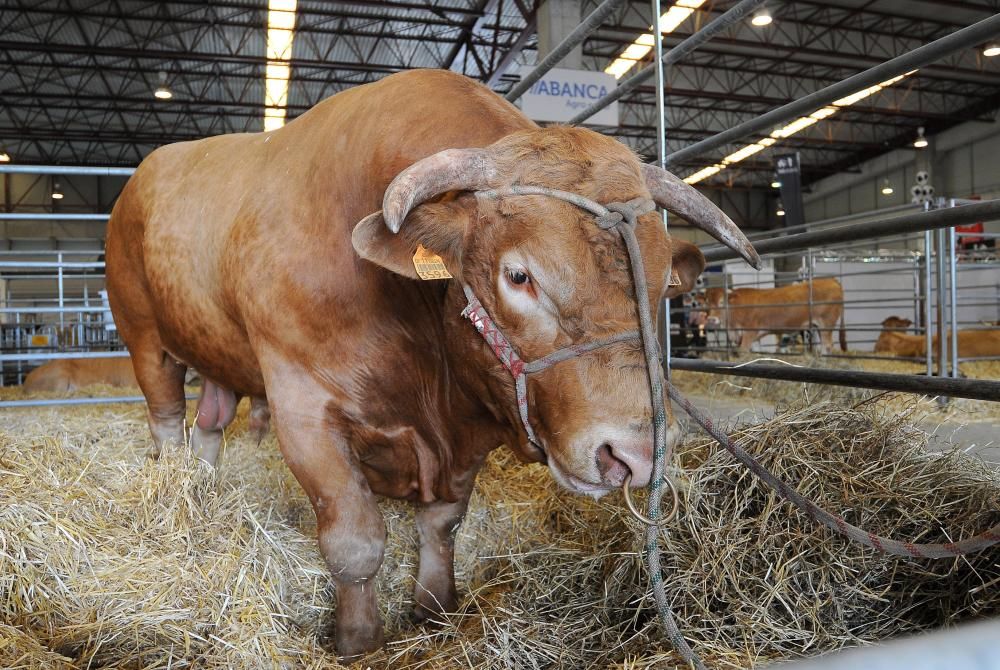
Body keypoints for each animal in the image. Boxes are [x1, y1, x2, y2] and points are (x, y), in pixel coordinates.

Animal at [103, 71, 756, 660]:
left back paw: (204, 492)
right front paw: (358, 640)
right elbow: (356, 540)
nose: (635, 456)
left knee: (210, 426)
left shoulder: (464, 433)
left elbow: (441, 523)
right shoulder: (304, 407)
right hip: (144, 338)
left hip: (214, 354)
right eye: (518, 275)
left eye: (663, 284)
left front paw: (434, 608)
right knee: (167, 421)